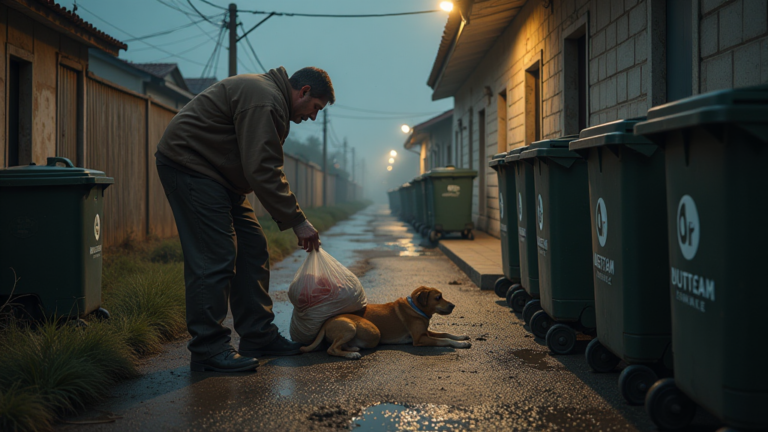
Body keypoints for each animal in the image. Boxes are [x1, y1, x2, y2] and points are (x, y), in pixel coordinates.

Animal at [298, 286, 468, 360]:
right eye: (438, 297)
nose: (453, 305)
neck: (415, 307)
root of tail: (326, 322)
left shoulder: (425, 333)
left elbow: (446, 333)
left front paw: (462, 337)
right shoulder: (420, 339)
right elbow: (445, 340)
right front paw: (460, 344)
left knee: (339, 345)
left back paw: (352, 348)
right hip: (351, 327)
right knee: (331, 349)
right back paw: (351, 354)